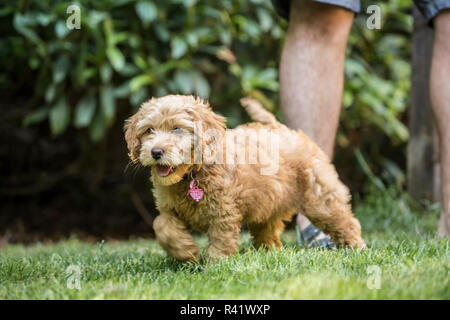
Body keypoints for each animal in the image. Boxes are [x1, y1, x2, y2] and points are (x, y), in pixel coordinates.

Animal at [124, 94, 366, 262]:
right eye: (149, 130)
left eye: (177, 130)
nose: (156, 152)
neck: (192, 174)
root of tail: (282, 128)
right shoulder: (169, 208)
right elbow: (162, 227)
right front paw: (186, 252)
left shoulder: (223, 211)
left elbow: (221, 240)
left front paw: (216, 265)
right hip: (269, 203)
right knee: (267, 231)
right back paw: (269, 252)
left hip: (319, 197)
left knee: (344, 220)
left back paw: (357, 247)